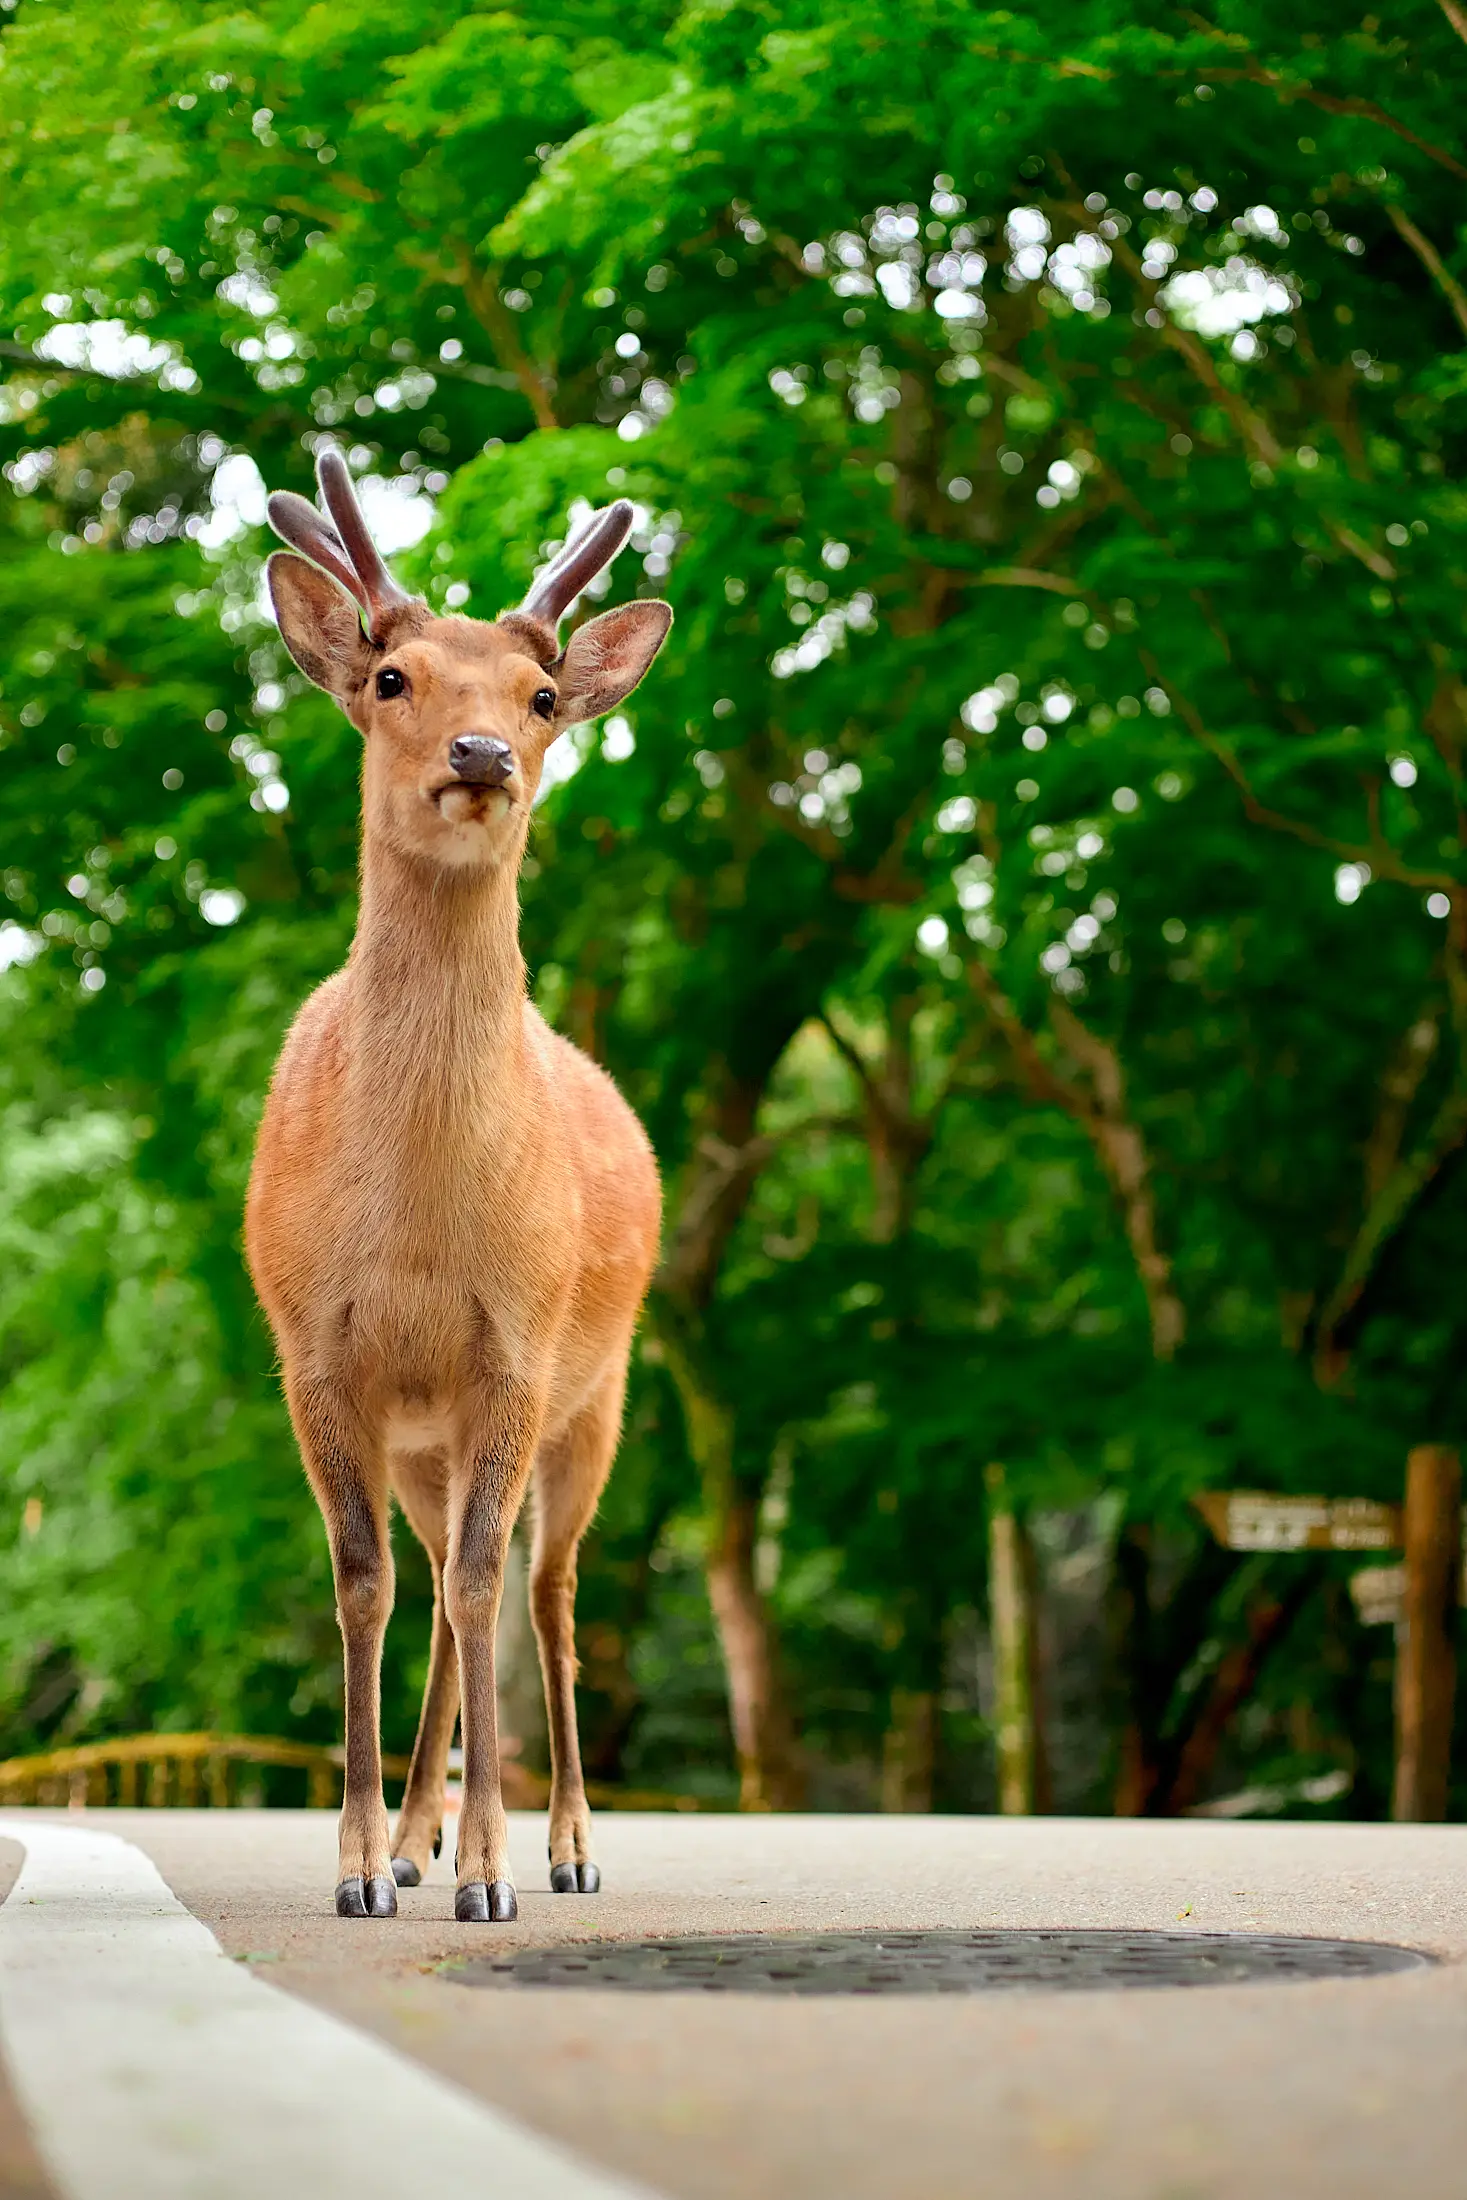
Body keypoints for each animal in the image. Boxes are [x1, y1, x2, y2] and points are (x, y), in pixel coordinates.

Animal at [246, 451, 673, 1927]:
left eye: (540, 697)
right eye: (392, 677)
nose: (480, 756)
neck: (423, 1234)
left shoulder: (516, 1344)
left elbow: (489, 1586)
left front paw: (491, 1868)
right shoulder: (313, 1346)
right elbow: (362, 1585)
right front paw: (363, 1860)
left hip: (597, 1394)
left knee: (543, 1590)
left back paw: (570, 1845)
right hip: (425, 1436)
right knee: (433, 1583)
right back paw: (419, 1837)